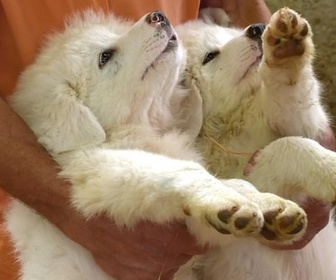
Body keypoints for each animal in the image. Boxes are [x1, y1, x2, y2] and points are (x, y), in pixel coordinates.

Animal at [175, 6, 336, 280]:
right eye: (210, 56)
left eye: (231, 34)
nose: (257, 29)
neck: (230, 125)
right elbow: (282, 149)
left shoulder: (294, 119)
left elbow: (290, 101)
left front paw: (286, 50)